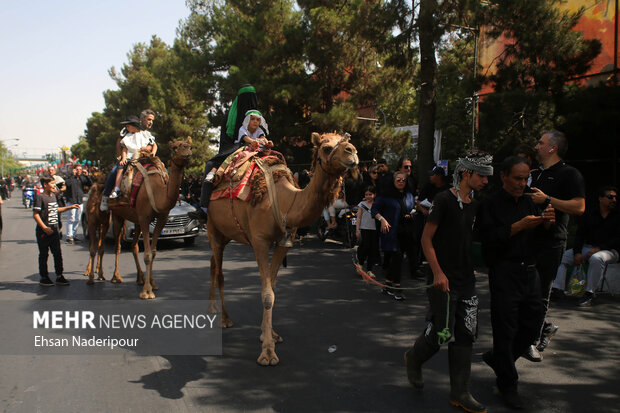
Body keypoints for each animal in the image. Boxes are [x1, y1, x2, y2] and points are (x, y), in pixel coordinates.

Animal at [109, 137, 191, 298]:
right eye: (175, 147)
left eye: (189, 146)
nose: (187, 152)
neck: (157, 191)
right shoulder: (145, 218)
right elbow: (147, 254)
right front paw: (147, 292)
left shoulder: (161, 219)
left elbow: (152, 253)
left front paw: (153, 284)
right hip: (117, 215)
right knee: (117, 246)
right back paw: (115, 277)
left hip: (136, 220)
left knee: (134, 245)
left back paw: (140, 278)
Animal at [207, 132, 358, 364]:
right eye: (326, 147)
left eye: (347, 140)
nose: (353, 153)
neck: (285, 200)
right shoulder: (260, 241)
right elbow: (267, 294)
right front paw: (268, 352)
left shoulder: (284, 243)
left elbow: (273, 287)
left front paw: (269, 334)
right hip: (213, 229)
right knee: (219, 272)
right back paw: (222, 318)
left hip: (225, 234)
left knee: (213, 264)